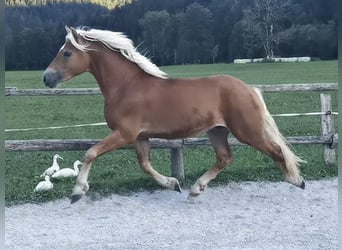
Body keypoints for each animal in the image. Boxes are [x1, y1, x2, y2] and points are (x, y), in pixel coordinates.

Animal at [42, 26, 304, 203]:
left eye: (66, 53)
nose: (46, 78)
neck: (127, 86)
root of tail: (249, 89)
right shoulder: (140, 137)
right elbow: (145, 165)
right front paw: (173, 184)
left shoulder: (124, 134)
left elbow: (91, 153)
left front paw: (78, 191)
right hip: (217, 131)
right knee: (225, 158)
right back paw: (195, 189)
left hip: (247, 131)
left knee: (276, 150)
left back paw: (297, 180)